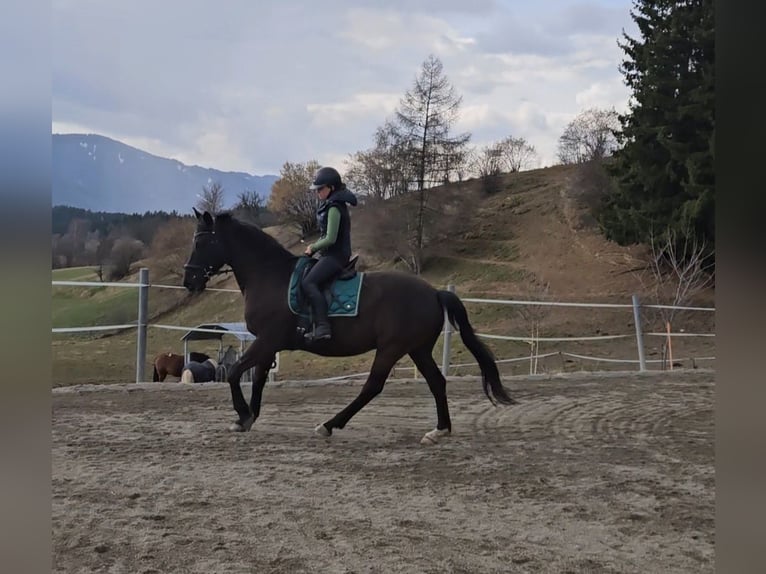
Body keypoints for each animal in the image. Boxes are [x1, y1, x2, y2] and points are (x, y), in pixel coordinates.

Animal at [182, 208, 516, 445]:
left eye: (202, 241)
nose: (189, 280)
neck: (268, 275)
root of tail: (434, 292)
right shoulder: (269, 343)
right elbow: (259, 379)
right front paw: (249, 417)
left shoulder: (267, 339)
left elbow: (236, 373)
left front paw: (241, 415)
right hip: (417, 349)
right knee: (437, 382)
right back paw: (439, 430)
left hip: (391, 348)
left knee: (373, 386)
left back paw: (329, 425)